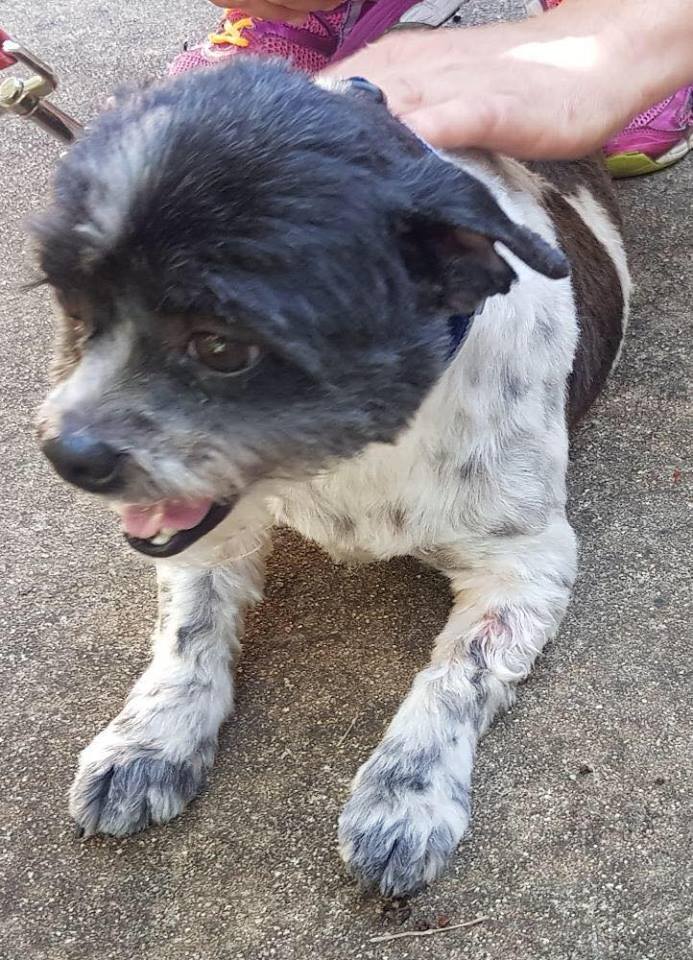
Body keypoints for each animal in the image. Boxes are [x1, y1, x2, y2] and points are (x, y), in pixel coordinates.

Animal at [35, 59, 630, 897]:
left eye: (221, 347)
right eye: (74, 308)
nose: (66, 452)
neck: (355, 455)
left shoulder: (526, 563)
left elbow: (458, 674)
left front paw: (405, 798)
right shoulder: (210, 532)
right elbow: (188, 631)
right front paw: (150, 740)